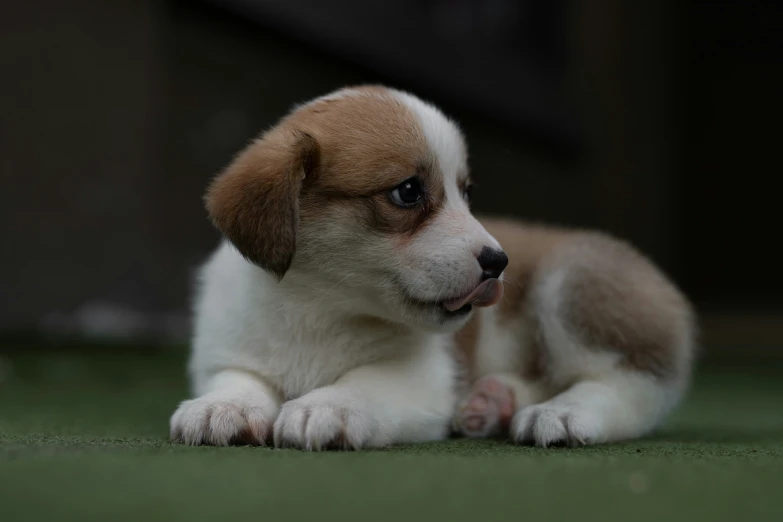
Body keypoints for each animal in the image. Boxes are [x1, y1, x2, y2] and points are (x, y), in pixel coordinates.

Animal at [168, 84, 696, 446]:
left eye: (466, 192)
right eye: (408, 191)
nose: (499, 262)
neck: (319, 308)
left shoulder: (420, 379)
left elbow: (362, 383)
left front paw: (326, 406)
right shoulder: (227, 352)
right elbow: (240, 380)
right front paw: (222, 408)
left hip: (574, 279)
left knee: (635, 383)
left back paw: (562, 414)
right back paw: (492, 403)